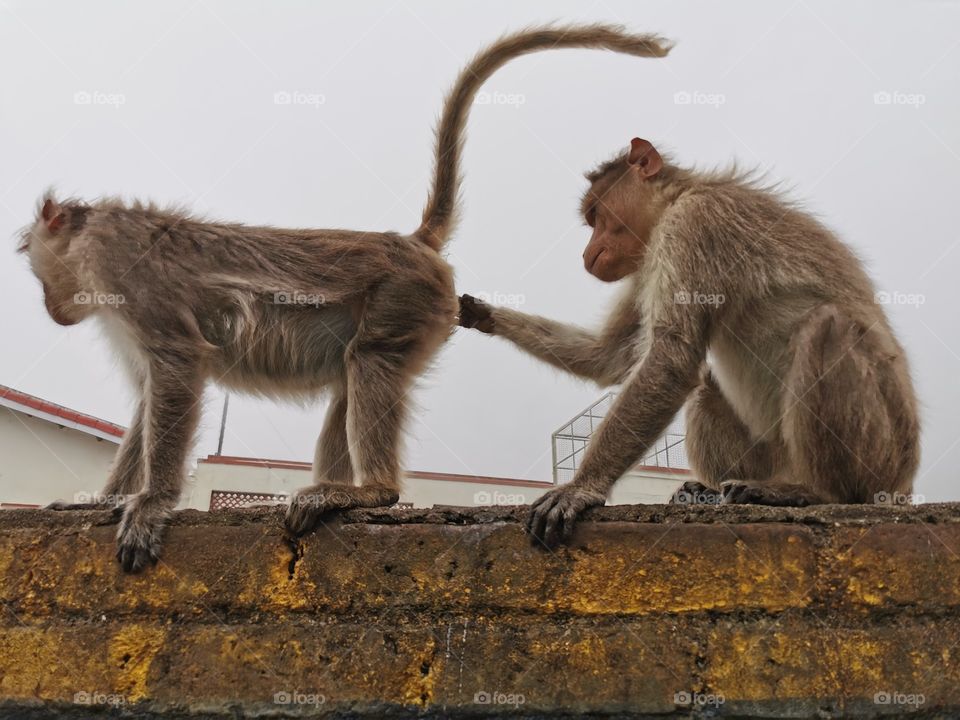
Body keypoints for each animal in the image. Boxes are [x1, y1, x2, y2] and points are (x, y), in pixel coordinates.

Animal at [19, 26, 672, 572]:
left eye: (33, 264)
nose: (50, 306)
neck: (101, 239)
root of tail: (412, 243)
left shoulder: (134, 280)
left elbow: (177, 372)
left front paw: (150, 504)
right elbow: (148, 394)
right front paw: (101, 501)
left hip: (407, 299)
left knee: (368, 361)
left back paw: (370, 492)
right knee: (346, 376)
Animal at [459, 137, 920, 548]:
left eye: (594, 215)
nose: (588, 252)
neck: (681, 195)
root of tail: (904, 483)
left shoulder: (691, 224)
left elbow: (670, 359)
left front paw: (580, 489)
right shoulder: (648, 260)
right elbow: (610, 357)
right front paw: (484, 314)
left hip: (885, 457)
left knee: (827, 326)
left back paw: (816, 493)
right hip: (771, 458)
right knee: (706, 388)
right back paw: (709, 490)